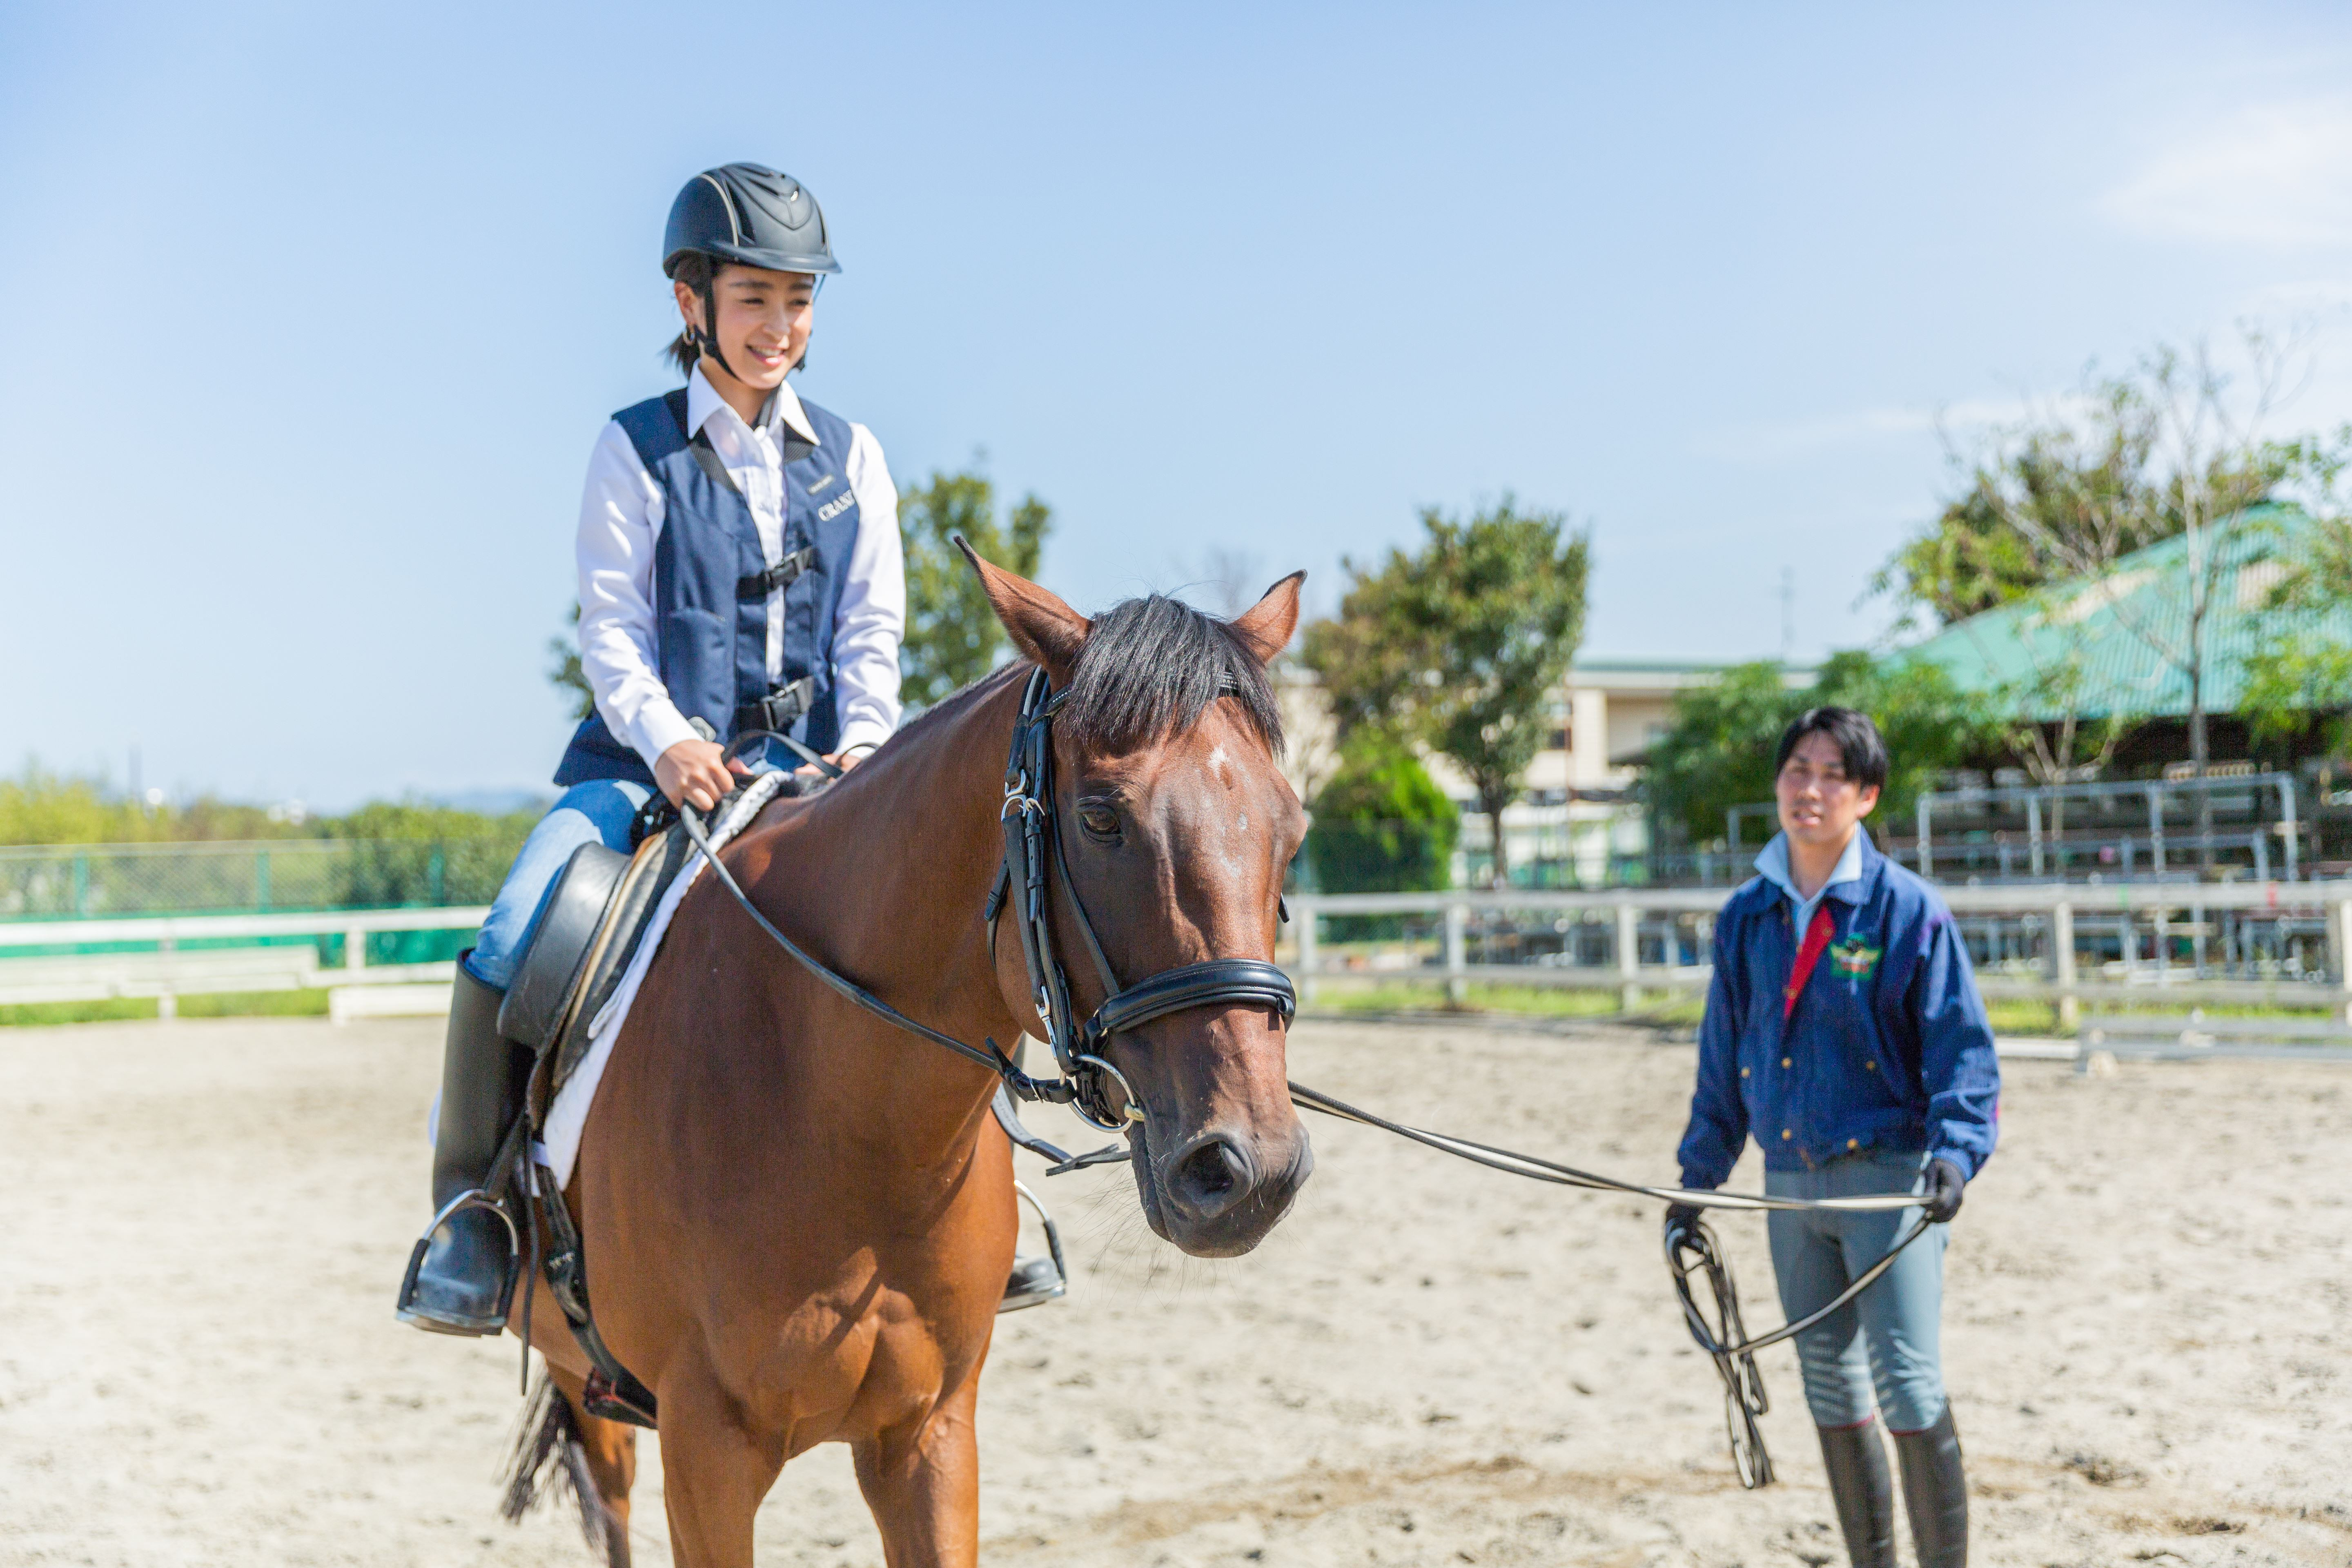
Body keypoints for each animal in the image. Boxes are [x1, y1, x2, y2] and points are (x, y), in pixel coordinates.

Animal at [506, 553, 1315, 1567]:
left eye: (1292, 828)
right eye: (1100, 819)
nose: (1250, 1173)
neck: (849, 1124)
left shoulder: (929, 1437)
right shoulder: (706, 1457)